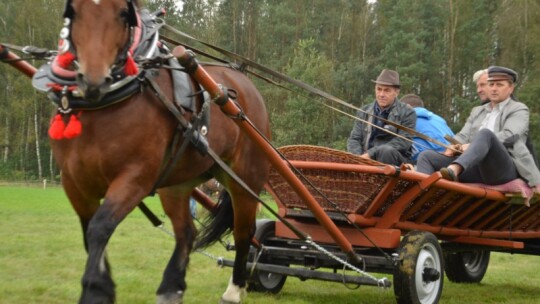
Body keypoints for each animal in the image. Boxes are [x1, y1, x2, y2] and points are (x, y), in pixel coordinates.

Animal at [49, 1, 268, 302]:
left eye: (123, 14)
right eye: (73, 12)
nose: (93, 79)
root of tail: (245, 85)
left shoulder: (135, 178)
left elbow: (100, 227)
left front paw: (96, 289)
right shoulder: (74, 182)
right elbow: (89, 232)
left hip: (244, 180)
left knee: (244, 231)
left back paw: (235, 289)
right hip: (177, 184)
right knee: (186, 232)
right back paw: (170, 287)